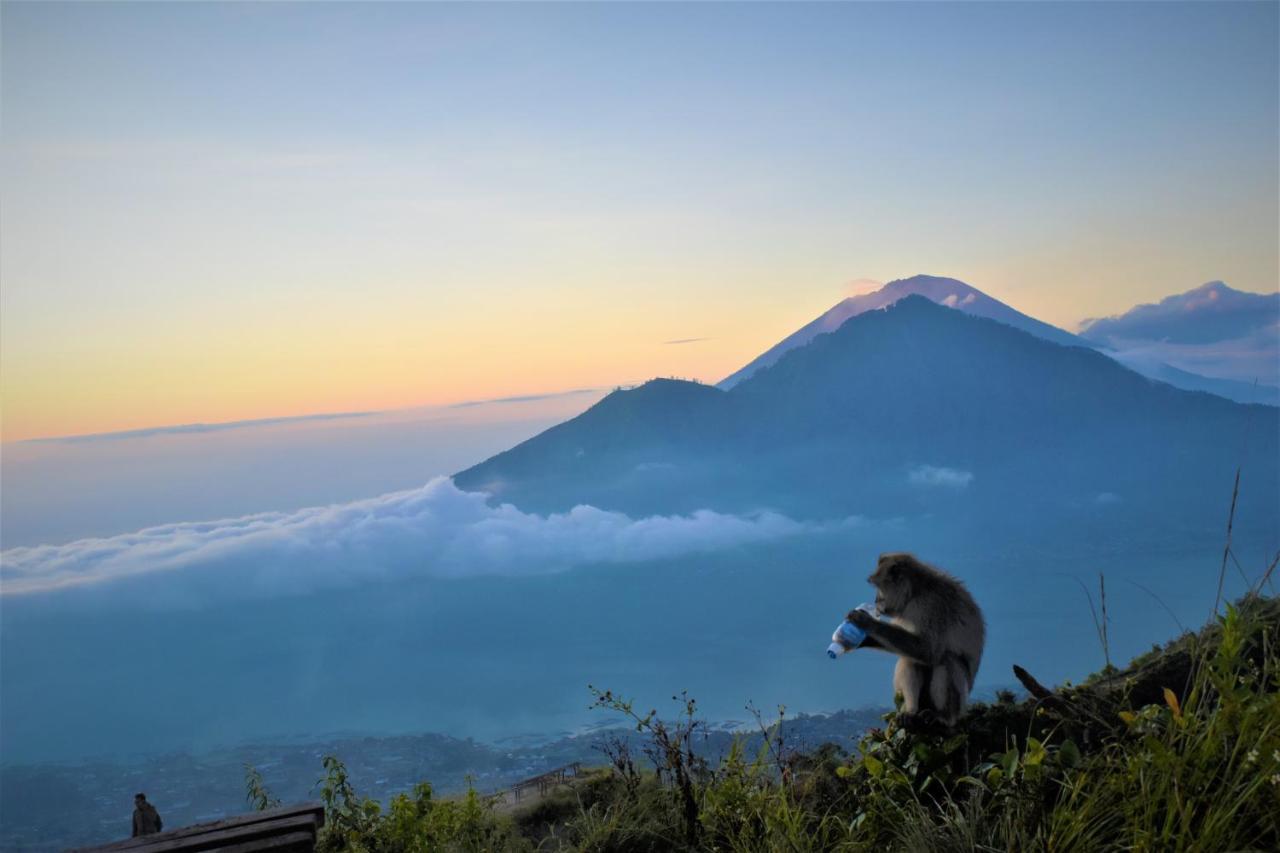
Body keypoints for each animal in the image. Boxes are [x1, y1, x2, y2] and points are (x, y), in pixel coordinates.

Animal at [849, 555, 988, 727]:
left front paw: (867, 622)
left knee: (946, 659)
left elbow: (928, 650)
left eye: (878, 586)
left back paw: (943, 715)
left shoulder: (930, 605)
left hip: (960, 703)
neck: (915, 592)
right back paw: (911, 711)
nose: (876, 600)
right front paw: (862, 638)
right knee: (911, 659)